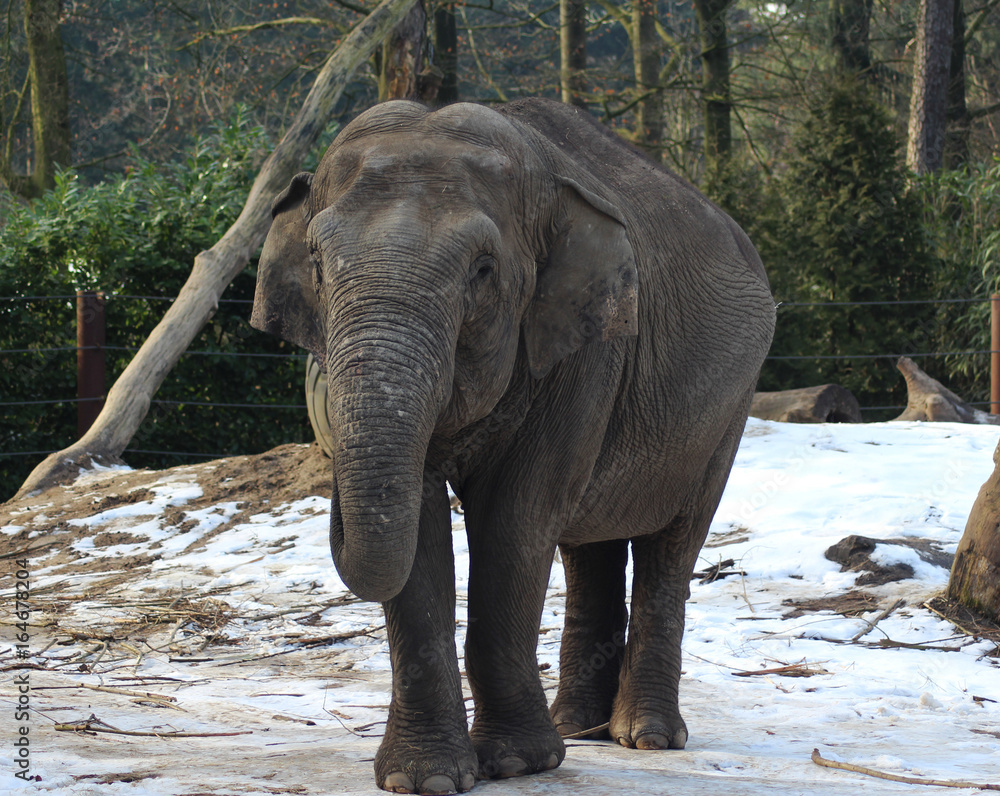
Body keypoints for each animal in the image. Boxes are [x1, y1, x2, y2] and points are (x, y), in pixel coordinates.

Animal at [250, 97, 775, 795]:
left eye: (482, 271)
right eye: (315, 262)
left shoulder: (585, 348)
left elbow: (515, 518)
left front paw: (518, 765)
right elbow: (418, 527)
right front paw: (426, 779)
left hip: (731, 406)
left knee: (673, 544)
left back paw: (646, 737)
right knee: (588, 548)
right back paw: (580, 728)